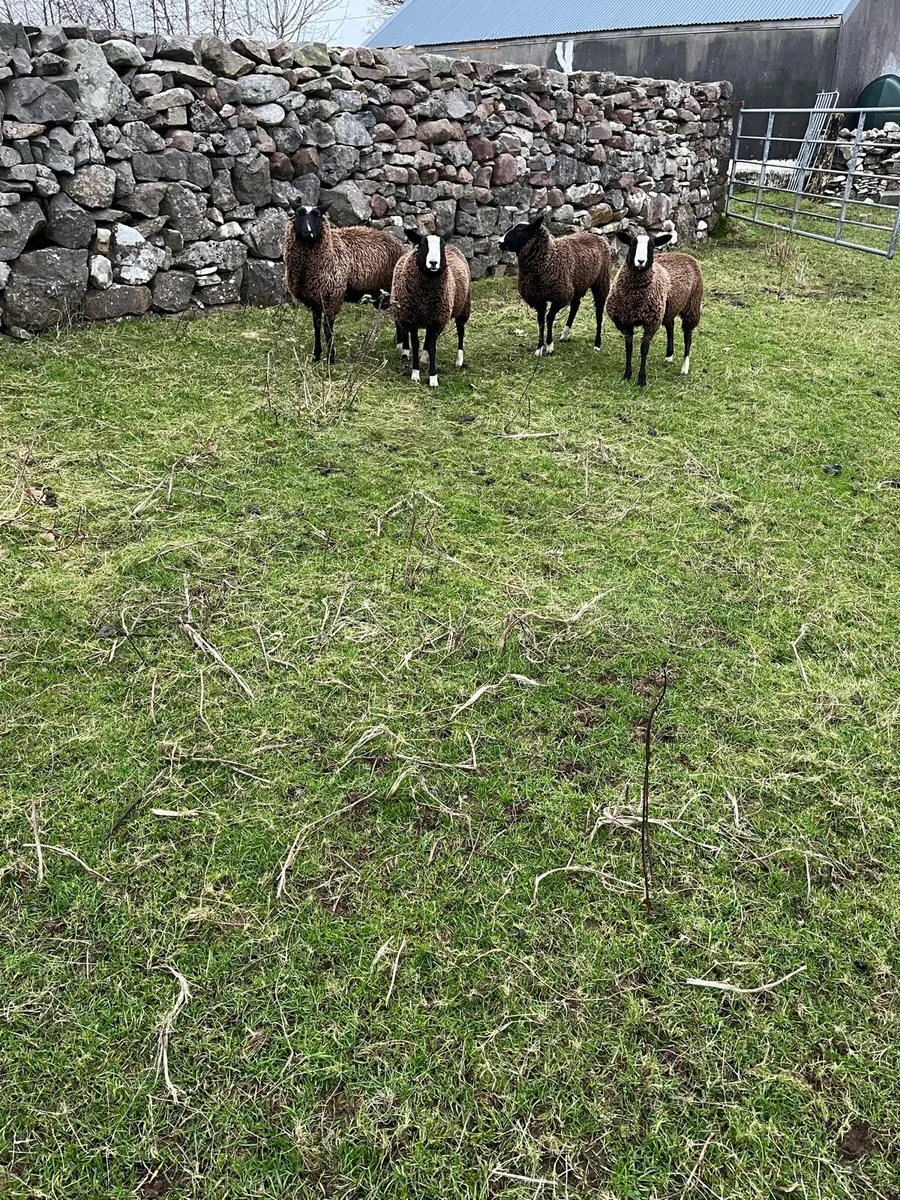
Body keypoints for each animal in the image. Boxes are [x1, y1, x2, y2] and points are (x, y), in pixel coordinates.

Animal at [283, 199, 407, 364]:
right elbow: (316, 326)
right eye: (298, 214)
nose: (308, 232)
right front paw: (316, 355)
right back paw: (399, 344)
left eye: (318, 215)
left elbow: (327, 328)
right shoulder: (315, 298)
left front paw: (330, 358)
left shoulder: (333, 295)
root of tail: (400, 244)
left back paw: (402, 348)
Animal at [391, 232, 471, 388]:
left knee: (460, 332)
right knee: (425, 339)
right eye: (422, 245)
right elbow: (416, 344)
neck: (425, 297)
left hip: (463, 307)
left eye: (441, 245)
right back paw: (423, 357)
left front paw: (433, 377)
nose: (433, 263)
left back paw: (459, 360)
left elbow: (433, 347)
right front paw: (415, 373)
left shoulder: (436, 320)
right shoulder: (413, 319)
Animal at [498, 212, 611, 357]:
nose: (499, 242)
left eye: (520, 231)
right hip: (577, 284)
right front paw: (539, 348)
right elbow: (541, 321)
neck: (549, 258)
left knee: (599, 313)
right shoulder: (538, 298)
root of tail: (597, 236)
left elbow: (549, 317)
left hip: (601, 281)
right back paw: (565, 334)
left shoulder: (560, 296)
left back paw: (597, 344)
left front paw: (549, 345)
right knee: (575, 306)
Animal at [606, 229, 704, 387]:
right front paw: (627, 374)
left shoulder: (651, 322)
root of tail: (685, 255)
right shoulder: (625, 321)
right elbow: (629, 348)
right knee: (670, 326)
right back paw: (669, 356)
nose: (640, 261)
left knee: (688, 336)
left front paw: (642, 379)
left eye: (651, 246)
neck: (634, 299)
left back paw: (684, 368)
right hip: (668, 308)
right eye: (632, 243)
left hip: (692, 306)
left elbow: (644, 349)